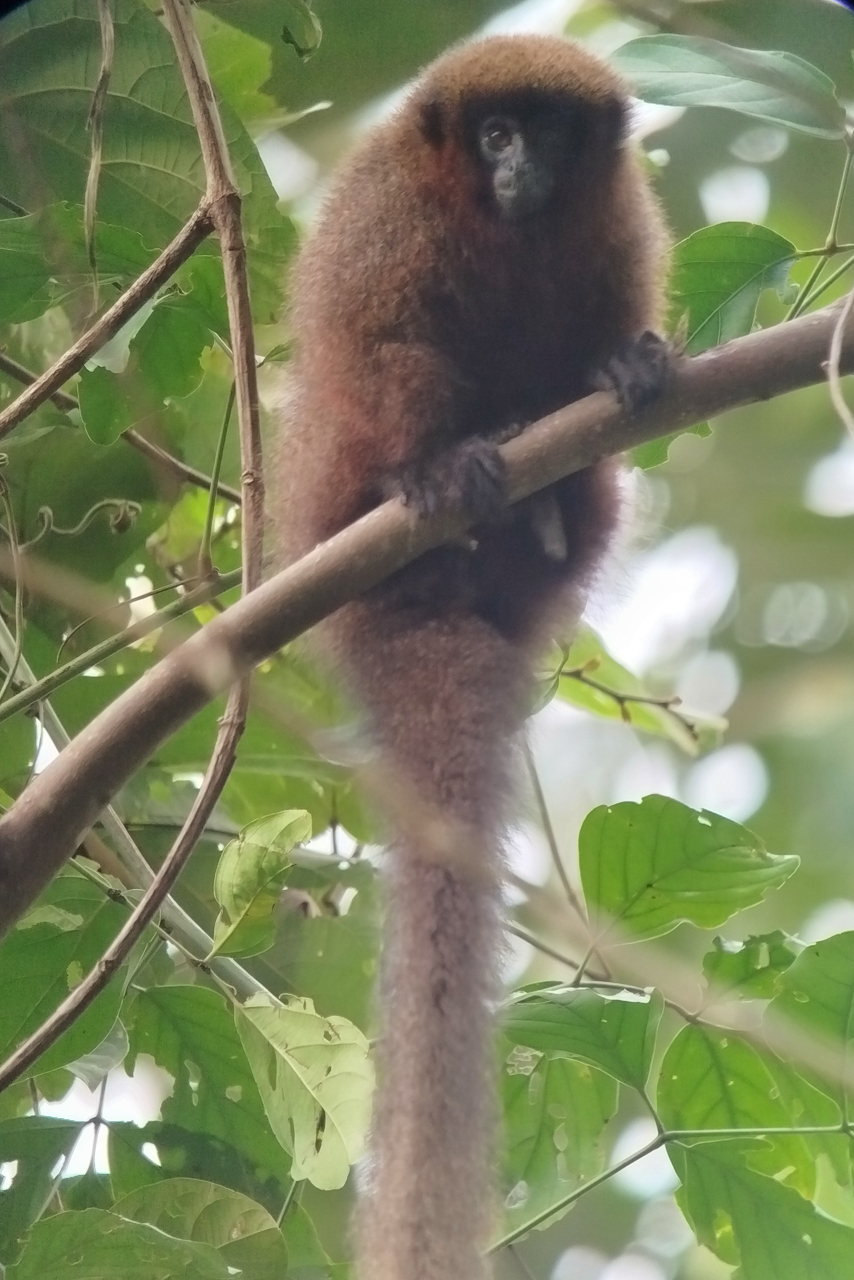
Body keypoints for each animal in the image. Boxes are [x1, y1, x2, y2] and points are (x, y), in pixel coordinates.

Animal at [274, 33, 670, 1280]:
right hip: (325, 493)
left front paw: (619, 361)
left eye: (548, 134)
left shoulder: (615, 224)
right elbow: (378, 340)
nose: (517, 166)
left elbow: (608, 313)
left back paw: (546, 503)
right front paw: (438, 460)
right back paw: (446, 481)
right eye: (493, 133)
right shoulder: (389, 218)